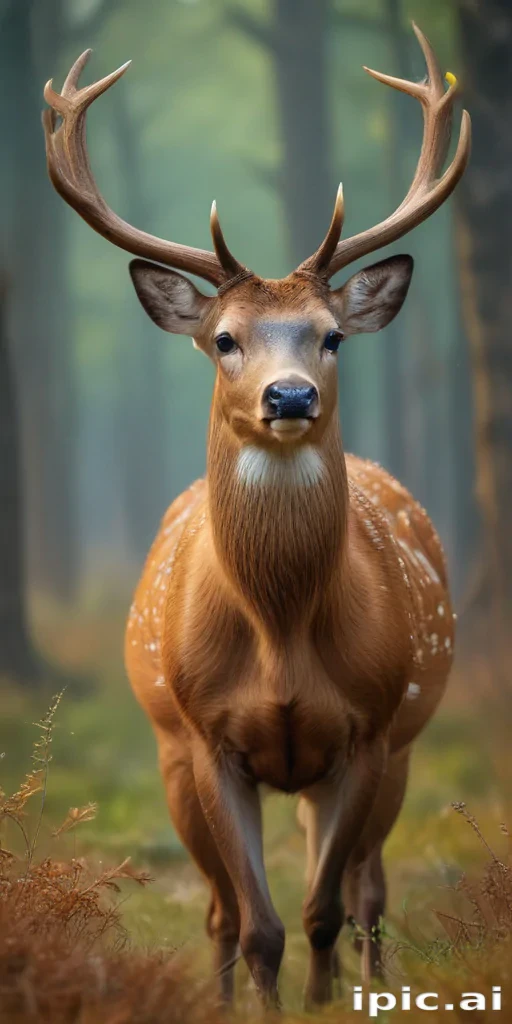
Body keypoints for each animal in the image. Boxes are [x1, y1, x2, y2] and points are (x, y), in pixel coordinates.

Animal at [43, 23, 470, 1009]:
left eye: (333, 334)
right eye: (224, 339)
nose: (290, 396)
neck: (280, 640)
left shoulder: (369, 729)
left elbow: (321, 911)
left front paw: (321, 1009)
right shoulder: (205, 738)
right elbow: (258, 923)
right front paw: (261, 1011)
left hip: (399, 746)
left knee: (369, 895)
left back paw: (369, 982)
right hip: (170, 752)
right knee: (218, 914)